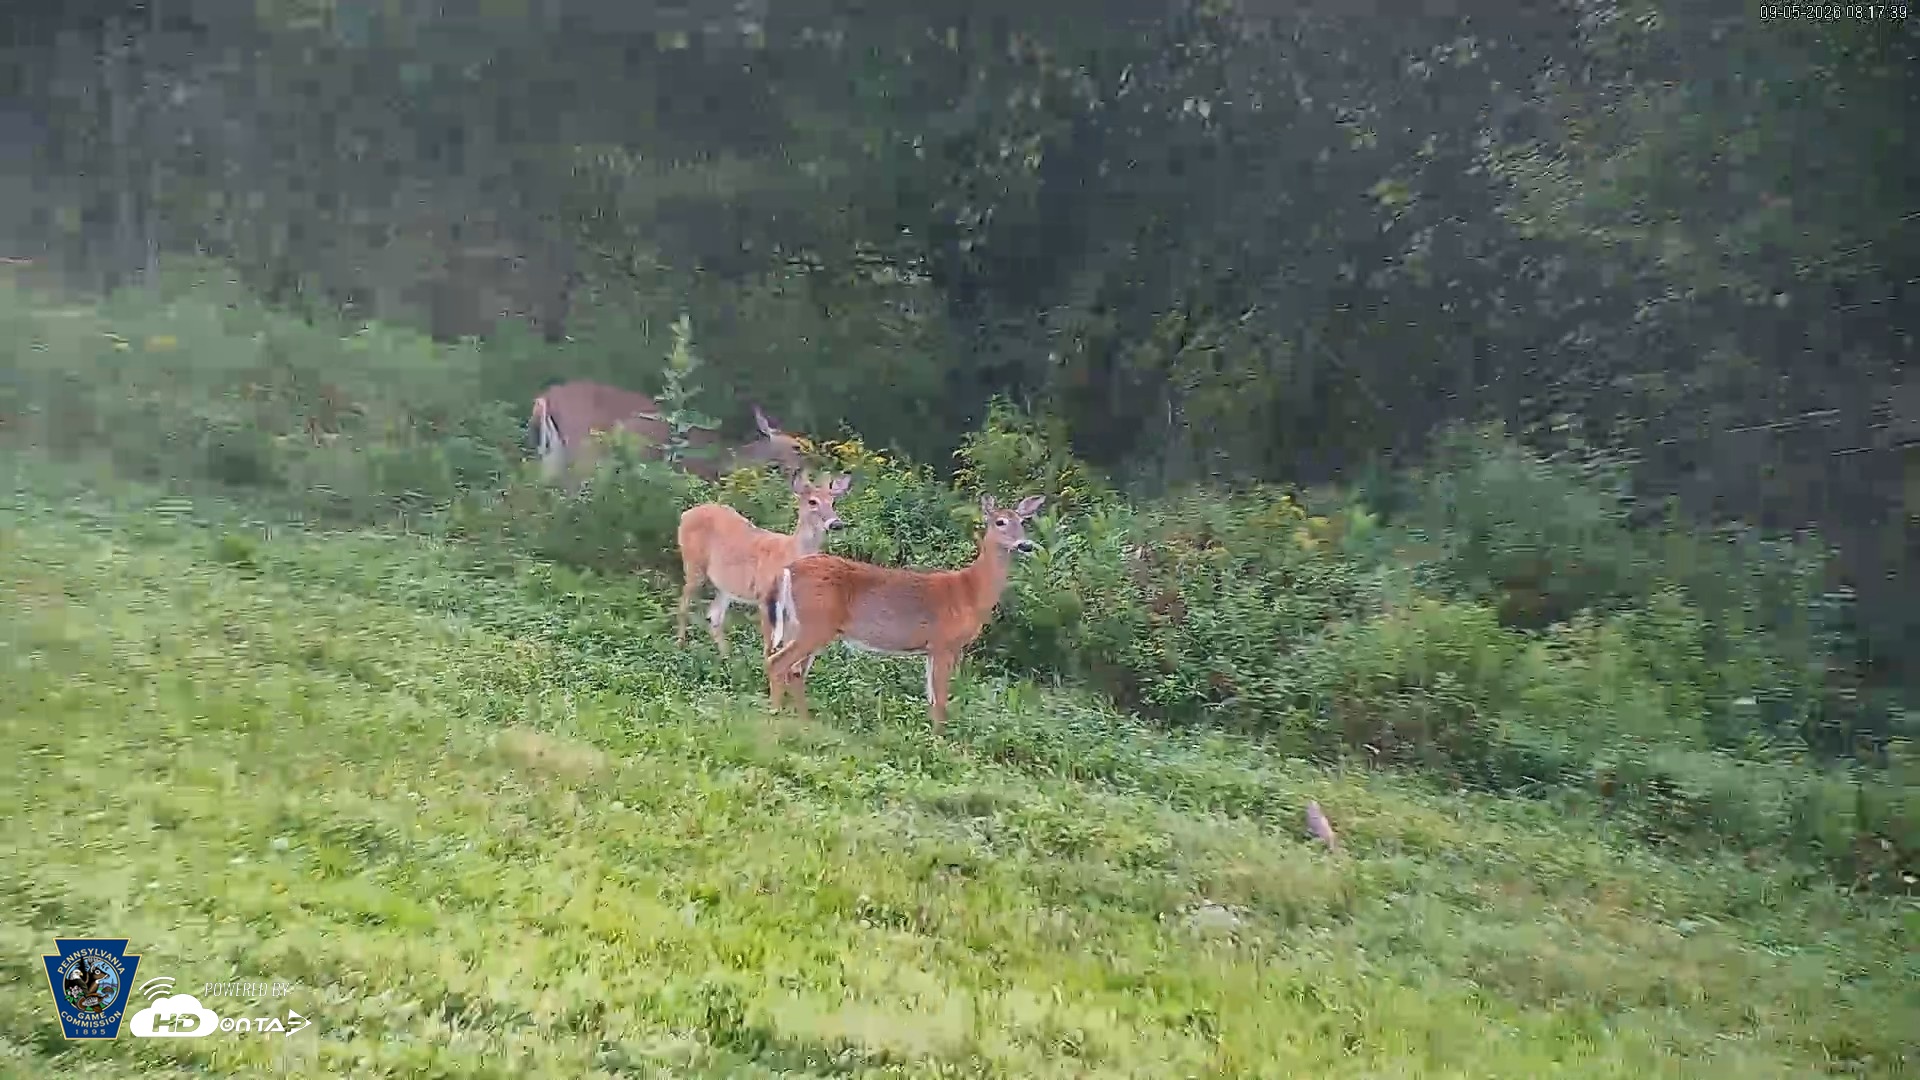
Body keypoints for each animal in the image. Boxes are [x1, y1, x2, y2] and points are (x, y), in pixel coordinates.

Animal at [676, 469, 854, 656]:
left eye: (833, 502)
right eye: (812, 501)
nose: (836, 524)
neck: (789, 552)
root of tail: (685, 515)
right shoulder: (765, 595)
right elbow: (769, 644)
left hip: (724, 584)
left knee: (714, 615)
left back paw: (727, 656)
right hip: (693, 564)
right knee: (684, 603)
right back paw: (680, 646)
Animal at [762, 492, 1046, 736]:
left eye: (1023, 522)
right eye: (1000, 521)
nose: (1025, 545)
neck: (970, 591)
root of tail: (788, 569)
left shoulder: (930, 649)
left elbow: (931, 698)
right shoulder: (945, 643)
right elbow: (941, 698)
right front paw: (941, 742)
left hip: (798, 624)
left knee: (794, 671)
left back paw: (803, 720)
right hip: (816, 624)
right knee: (779, 663)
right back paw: (775, 715)